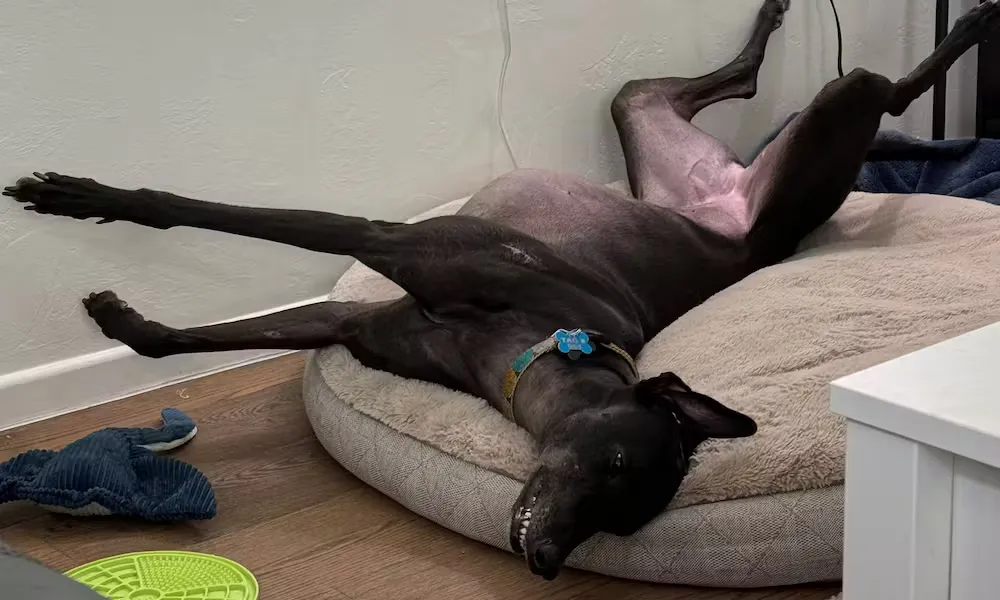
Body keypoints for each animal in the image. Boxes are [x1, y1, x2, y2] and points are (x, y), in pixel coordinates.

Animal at [5, 0, 992, 580]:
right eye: (619, 463)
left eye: (626, 522)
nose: (549, 560)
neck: (536, 338)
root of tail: (733, 197)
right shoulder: (385, 260)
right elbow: (202, 225)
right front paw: (85, 211)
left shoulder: (356, 311)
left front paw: (117, 302)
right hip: (695, 117)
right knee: (865, 82)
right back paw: (959, 21)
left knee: (821, 85)